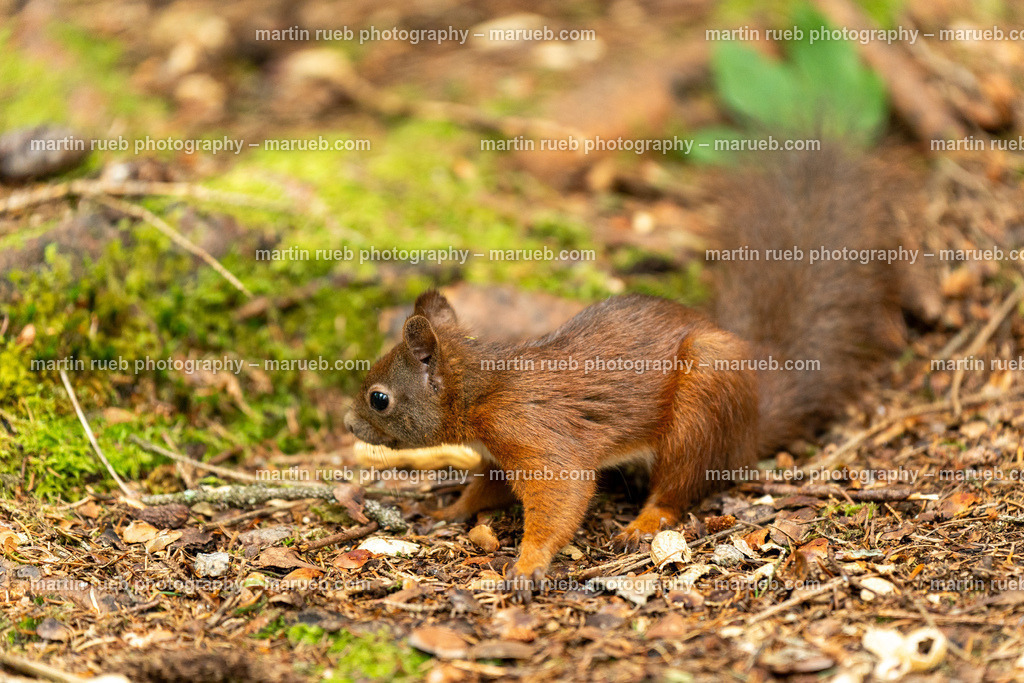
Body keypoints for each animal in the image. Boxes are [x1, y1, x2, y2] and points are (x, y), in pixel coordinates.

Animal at [344, 147, 907, 598]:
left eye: (379, 399)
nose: (349, 425)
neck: (482, 392)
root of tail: (755, 412)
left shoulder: (532, 433)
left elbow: (561, 494)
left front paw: (528, 565)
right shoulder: (498, 455)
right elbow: (485, 491)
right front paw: (448, 511)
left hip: (702, 399)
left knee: (682, 484)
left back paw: (644, 522)